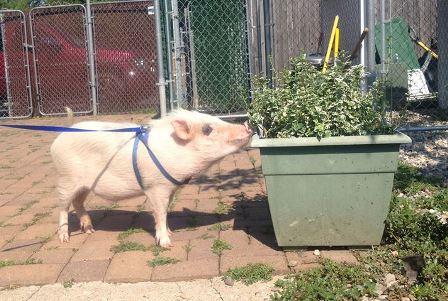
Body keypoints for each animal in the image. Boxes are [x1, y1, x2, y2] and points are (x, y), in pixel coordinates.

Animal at [51, 109, 254, 246]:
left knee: (78, 202)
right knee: (63, 206)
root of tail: (60, 137)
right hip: (65, 179)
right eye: (207, 129)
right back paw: (64, 239)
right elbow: (160, 212)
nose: (248, 127)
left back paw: (89, 231)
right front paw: (166, 243)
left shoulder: (170, 188)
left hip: (84, 185)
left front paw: (170, 233)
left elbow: (166, 211)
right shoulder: (156, 187)